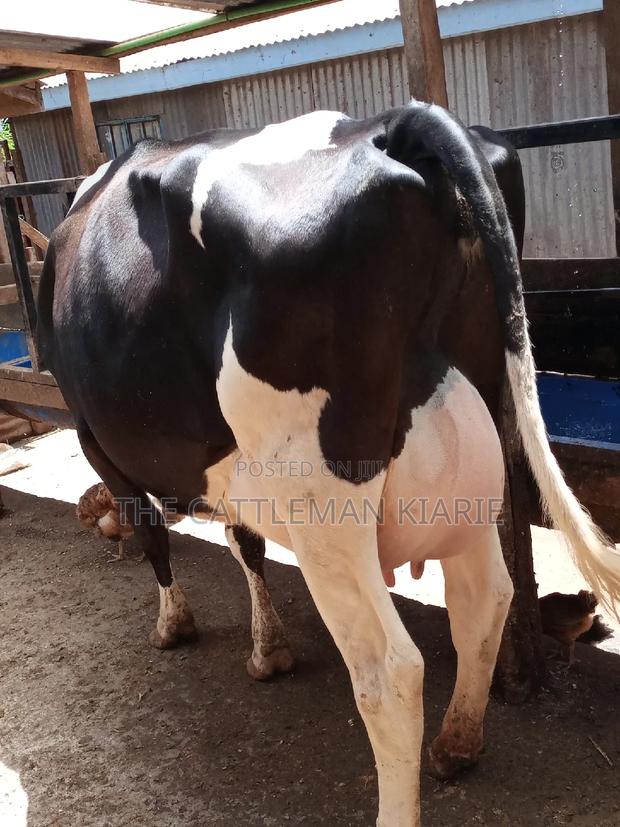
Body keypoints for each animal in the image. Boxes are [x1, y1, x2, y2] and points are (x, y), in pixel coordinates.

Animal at [37, 100, 620, 826]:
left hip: (319, 494)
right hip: (480, 441)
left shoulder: (96, 438)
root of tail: (395, 123)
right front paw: (268, 648)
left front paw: (175, 624)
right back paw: (457, 744)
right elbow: (245, 540)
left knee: (389, 670)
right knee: (484, 599)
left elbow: (155, 536)